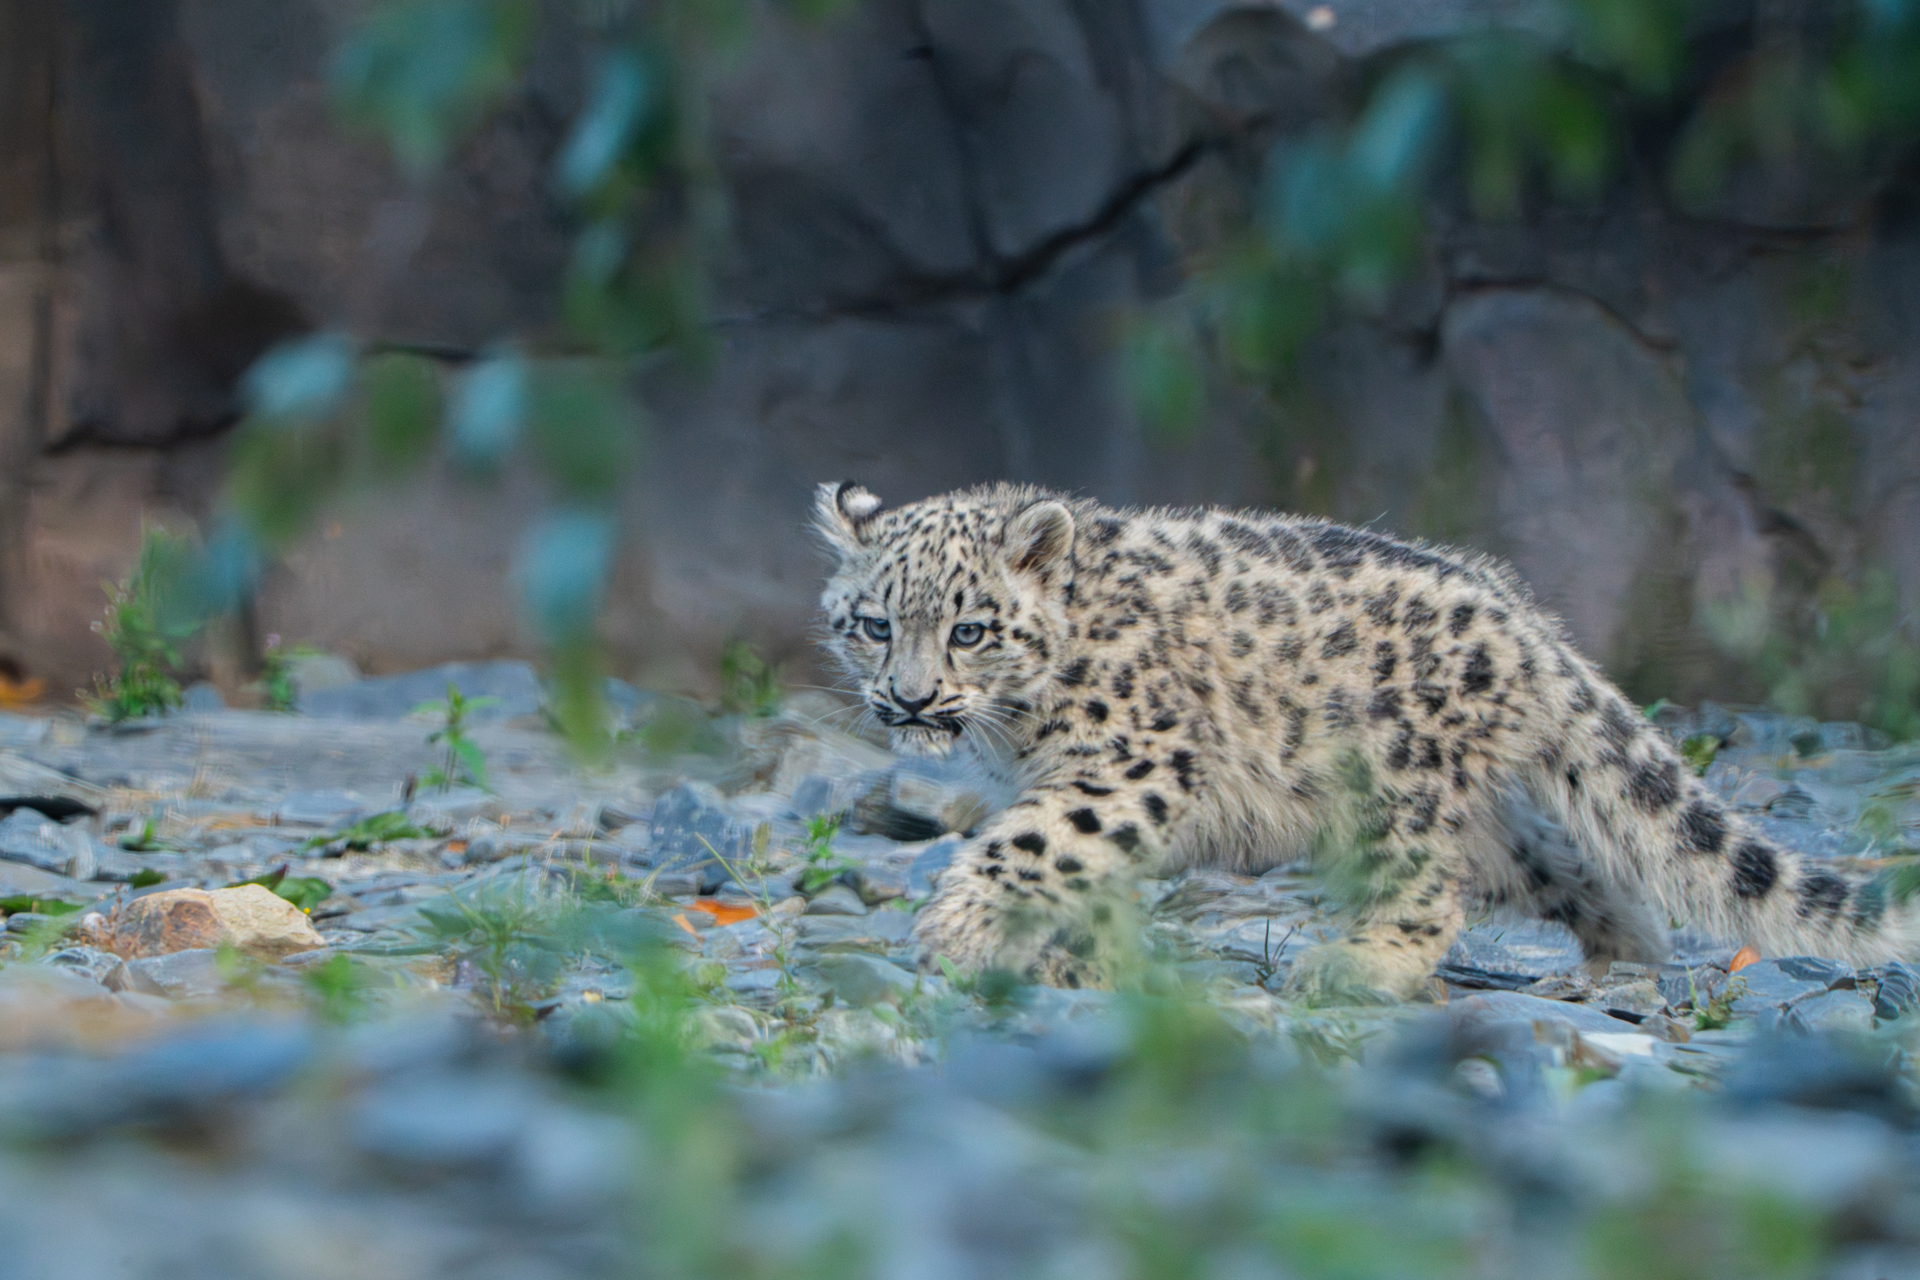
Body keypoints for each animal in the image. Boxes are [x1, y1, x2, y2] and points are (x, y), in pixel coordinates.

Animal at [812, 479, 1917, 999]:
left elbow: (1036, 844)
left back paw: (1361, 964)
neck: (1016, 734)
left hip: (1392, 786)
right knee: (1565, 866)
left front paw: (956, 929)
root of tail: (1523, 620)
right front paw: (1067, 957)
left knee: (1430, 889)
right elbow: (1073, 867)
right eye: (874, 623)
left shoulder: (1128, 764)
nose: (910, 699)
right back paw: (1619, 958)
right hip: (1484, 820)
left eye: (969, 628)